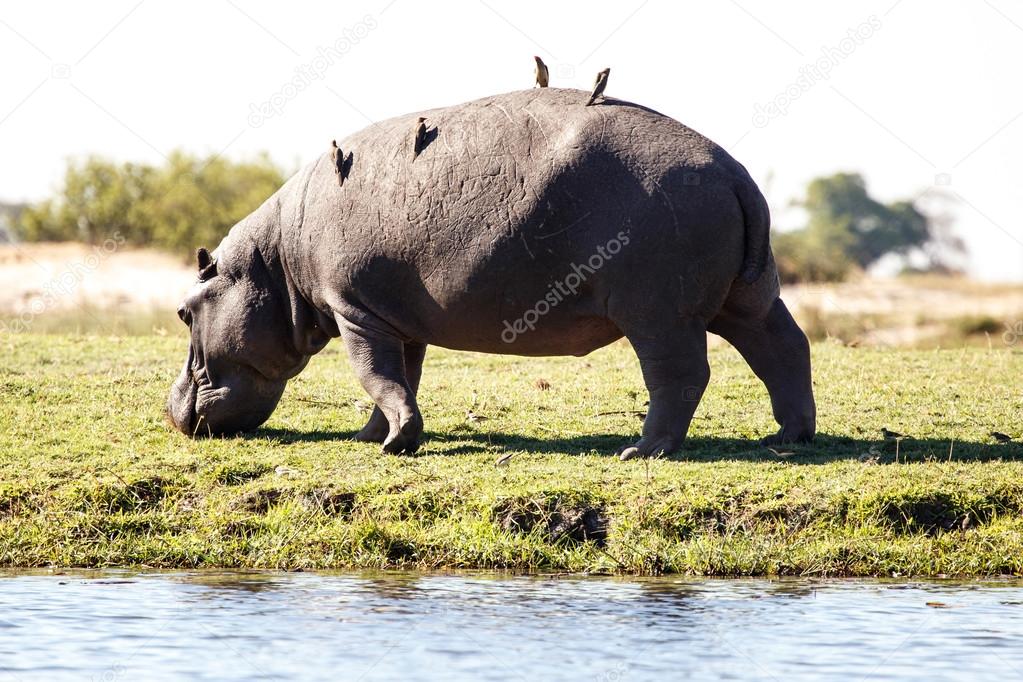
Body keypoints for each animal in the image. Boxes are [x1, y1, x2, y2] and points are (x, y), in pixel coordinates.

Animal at [171, 86, 818, 458]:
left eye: (183, 310)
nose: (170, 407)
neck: (273, 265)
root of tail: (735, 172)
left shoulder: (354, 311)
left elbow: (374, 374)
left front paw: (393, 445)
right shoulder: (395, 319)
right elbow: (400, 379)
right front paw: (375, 436)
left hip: (661, 313)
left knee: (680, 375)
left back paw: (644, 452)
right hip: (749, 296)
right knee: (785, 347)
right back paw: (789, 436)